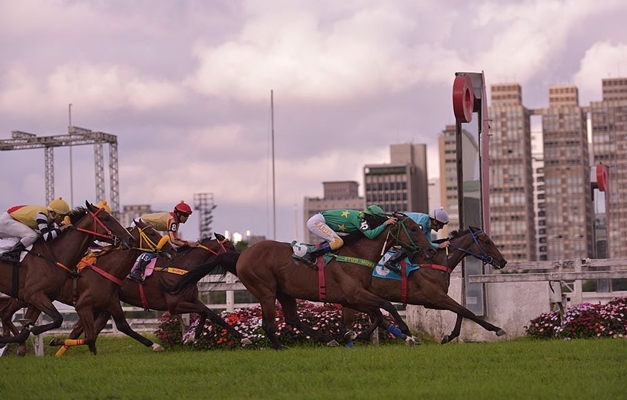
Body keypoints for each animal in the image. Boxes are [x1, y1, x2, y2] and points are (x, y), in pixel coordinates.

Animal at [0, 202, 136, 348]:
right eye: (107, 218)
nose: (131, 239)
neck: (53, 254)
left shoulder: (39, 297)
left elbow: (27, 332)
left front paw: (27, 330)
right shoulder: (34, 294)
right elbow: (58, 319)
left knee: (5, 314)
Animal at [1, 219, 177, 356]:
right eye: (153, 233)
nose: (172, 249)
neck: (107, 268)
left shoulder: (110, 302)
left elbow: (123, 327)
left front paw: (155, 345)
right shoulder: (84, 304)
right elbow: (90, 335)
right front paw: (57, 342)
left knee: (7, 314)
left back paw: (18, 344)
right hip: (28, 296)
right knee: (7, 314)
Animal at [56, 233, 251, 352]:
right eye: (231, 246)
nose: (240, 259)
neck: (182, 269)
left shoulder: (192, 299)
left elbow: (213, 315)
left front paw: (243, 338)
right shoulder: (175, 305)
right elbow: (204, 312)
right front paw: (193, 336)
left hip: (104, 303)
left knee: (88, 328)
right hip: (107, 301)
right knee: (113, 326)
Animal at [167, 214, 436, 348]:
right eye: (413, 229)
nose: (430, 250)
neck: (358, 254)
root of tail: (242, 254)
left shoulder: (353, 298)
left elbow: (379, 315)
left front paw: (356, 335)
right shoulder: (355, 294)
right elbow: (387, 307)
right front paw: (407, 333)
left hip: (285, 292)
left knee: (292, 319)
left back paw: (327, 339)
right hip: (265, 290)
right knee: (268, 324)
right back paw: (279, 347)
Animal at [344, 227, 510, 342]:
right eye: (487, 241)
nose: (503, 261)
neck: (436, 262)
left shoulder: (431, 301)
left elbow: (460, 311)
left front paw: (450, 336)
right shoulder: (437, 297)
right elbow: (466, 311)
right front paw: (496, 329)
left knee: (376, 316)